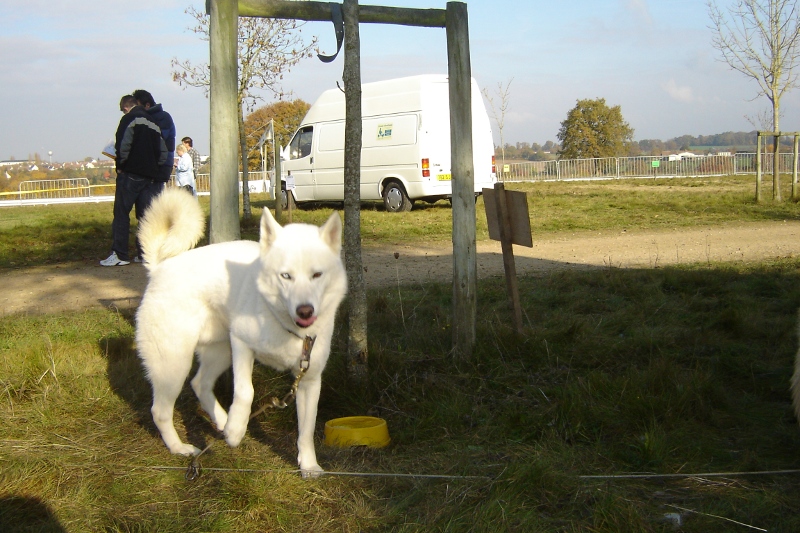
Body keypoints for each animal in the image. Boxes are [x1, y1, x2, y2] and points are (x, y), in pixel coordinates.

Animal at [135, 187, 346, 474]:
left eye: (317, 275)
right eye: (286, 276)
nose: (305, 311)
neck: (284, 326)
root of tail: (160, 267)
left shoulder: (309, 381)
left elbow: (306, 429)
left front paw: (309, 466)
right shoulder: (242, 344)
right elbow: (246, 392)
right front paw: (236, 431)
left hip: (219, 352)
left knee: (200, 384)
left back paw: (222, 422)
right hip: (174, 364)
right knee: (160, 410)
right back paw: (183, 447)